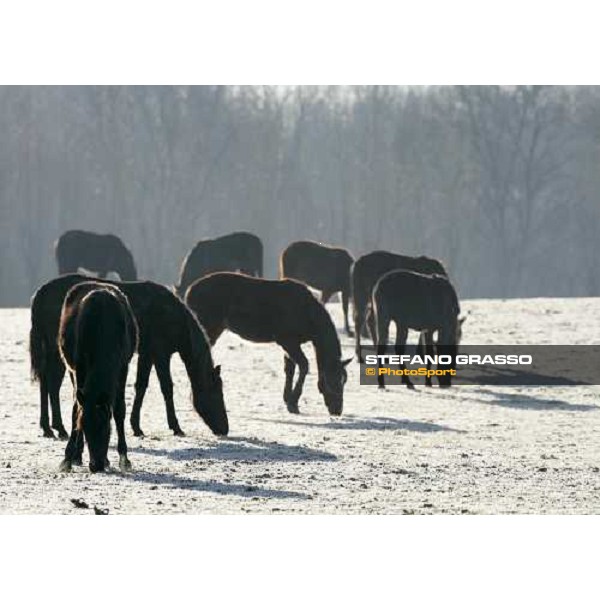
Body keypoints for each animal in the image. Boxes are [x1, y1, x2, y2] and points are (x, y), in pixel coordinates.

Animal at [29, 274, 229, 438]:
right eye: (217, 393)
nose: (225, 428)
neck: (176, 323)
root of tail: (40, 294)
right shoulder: (160, 352)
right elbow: (166, 387)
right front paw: (175, 426)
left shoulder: (147, 353)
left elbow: (141, 385)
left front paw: (136, 426)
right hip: (55, 347)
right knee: (51, 382)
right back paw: (57, 427)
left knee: (46, 381)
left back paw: (49, 427)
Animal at [57, 282, 138, 474]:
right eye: (85, 427)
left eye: (105, 428)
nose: (96, 465)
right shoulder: (79, 366)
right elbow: (76, 410)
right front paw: (68, 457)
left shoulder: (123, 366)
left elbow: (119, 409)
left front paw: (124, 458)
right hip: (70, 368)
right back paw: (77, 456)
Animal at [186, 274, 352, 418]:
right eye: (334, 380)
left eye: (345, 380)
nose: (337, 410)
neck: (306, 312)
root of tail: (189, 291)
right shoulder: (288, 341)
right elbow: (304, 365)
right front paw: (293, 402)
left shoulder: (290, 344)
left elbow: (290, 369)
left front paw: (287, 399)